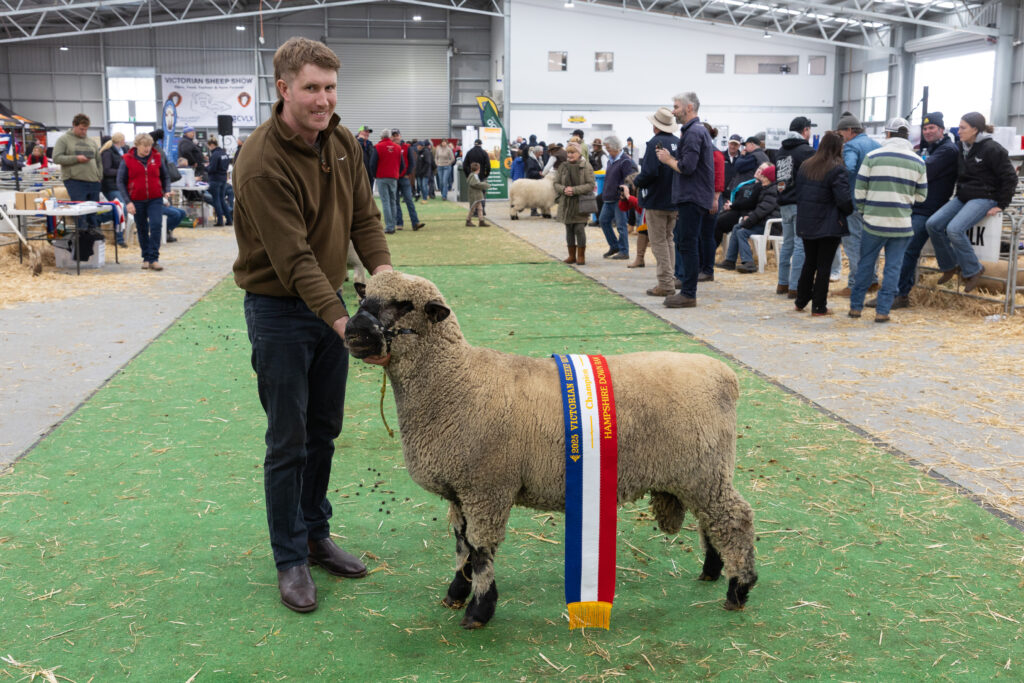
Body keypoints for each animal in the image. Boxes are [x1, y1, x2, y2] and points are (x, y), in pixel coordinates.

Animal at [345, 272, 757, 629]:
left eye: (403, 305)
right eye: (363, 298)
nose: (352, 331)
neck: (455, 381)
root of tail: (726, 376)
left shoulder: (486, 489)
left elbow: (480, 550)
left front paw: (479, 609)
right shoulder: (460, 491)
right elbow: (462, 545)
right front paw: (457, 592)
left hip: (704, 469)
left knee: (734, 518)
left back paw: (738, 588)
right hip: (698, 473)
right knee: (712, 521)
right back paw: (712, 571)